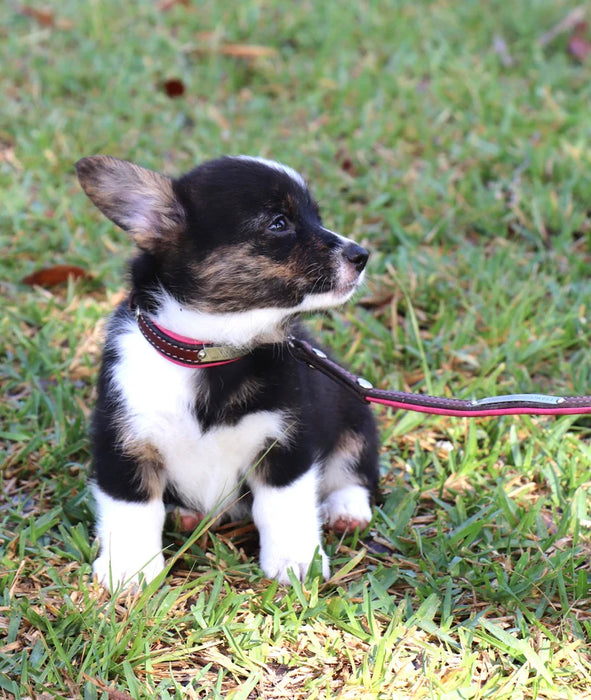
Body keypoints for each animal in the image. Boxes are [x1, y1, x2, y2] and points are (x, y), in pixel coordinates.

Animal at [76, 154, 380, 592]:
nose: (361, 255)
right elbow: (131, 508)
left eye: (315, 217)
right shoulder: (123, 441)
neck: (210, 350)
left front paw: (294, 561)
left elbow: (284, 506)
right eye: (279, 223)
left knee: (353, 471)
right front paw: (129, 567)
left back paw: (345, 509)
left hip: (353, 413)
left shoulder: (285, 444)